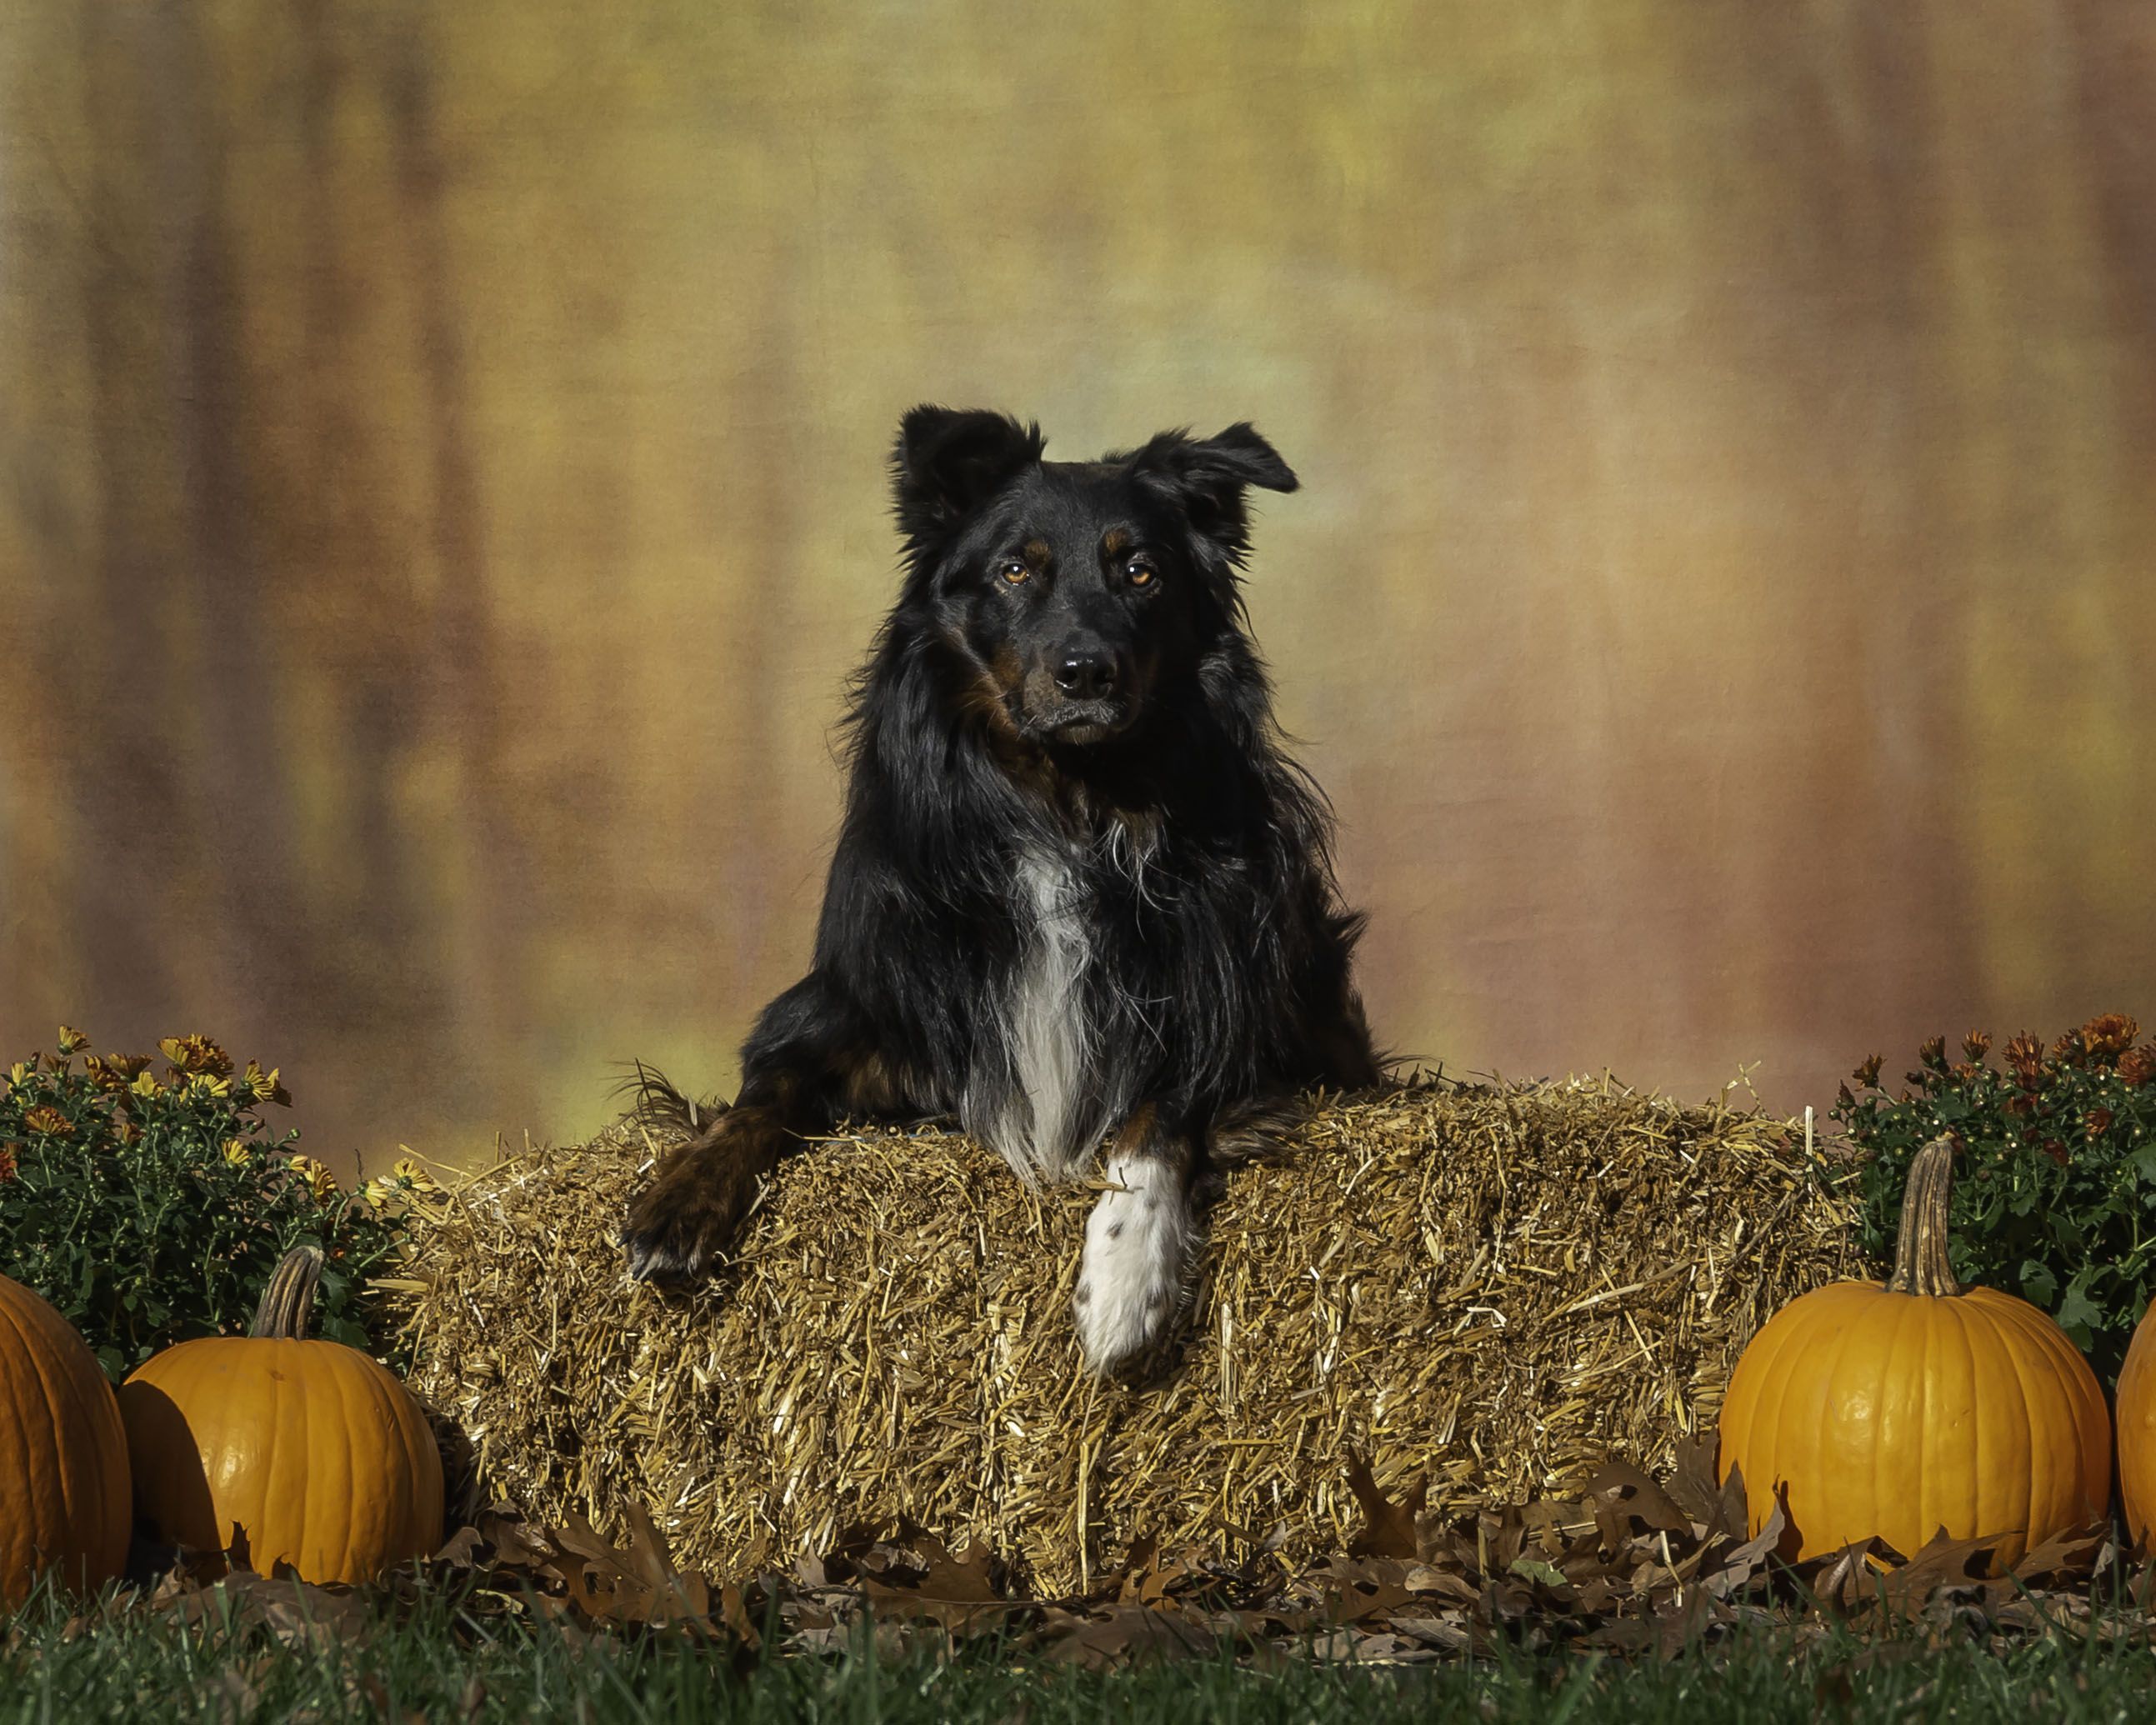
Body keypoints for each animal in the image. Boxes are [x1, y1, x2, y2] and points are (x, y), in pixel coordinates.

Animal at [625, 405, 1379, 1371]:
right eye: (1017, 569)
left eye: (1140, 572)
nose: (1086, 672)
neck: (1069, 801)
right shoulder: (849, 1009)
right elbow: (761, 1098)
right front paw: (680, 1197)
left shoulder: (1223, 1005)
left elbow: (1157, 1114)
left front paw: (1124, 1281)